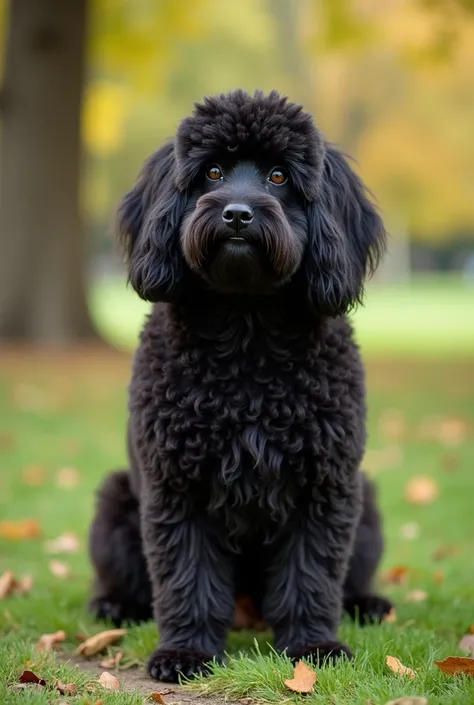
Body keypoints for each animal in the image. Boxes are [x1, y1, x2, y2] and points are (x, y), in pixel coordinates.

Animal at [89, 89, 392, 680]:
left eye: (278, 175)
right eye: (212, 171)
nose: (237, 214)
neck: (247, 336)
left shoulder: (323, 487)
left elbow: (311, 576)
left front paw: (313, 647)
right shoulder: (177, 488)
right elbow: (188, 578)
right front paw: (186, 652)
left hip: (364, 506)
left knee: (348, 579)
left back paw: (367, 604)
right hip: (115, 507)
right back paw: (114, 604)